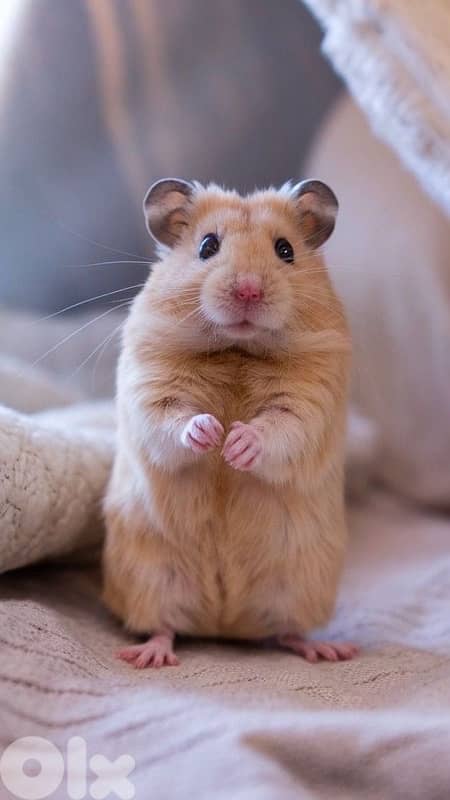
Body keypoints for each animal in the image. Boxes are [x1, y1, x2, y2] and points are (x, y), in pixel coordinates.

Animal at [103, 178, 357, 668]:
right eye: (207, 246)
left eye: (285, 250)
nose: (249, 291)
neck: (237, 348)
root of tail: (223, 623)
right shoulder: (151, 390)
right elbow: (173, 418)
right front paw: (212, 433)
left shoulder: (311, 402)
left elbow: (280, 428)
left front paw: (236, 444)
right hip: (150, 577)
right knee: (164, 625)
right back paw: (145, 656)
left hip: (299, 586)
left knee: (287, 632)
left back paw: (331, 649)